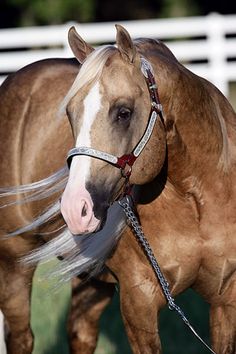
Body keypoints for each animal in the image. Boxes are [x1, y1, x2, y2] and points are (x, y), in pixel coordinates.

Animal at [0, 24, 236, 354]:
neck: (197, 199)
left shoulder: (226, 299)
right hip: (12, 264)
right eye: (70, 114)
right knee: (21, 337)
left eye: (123, 112)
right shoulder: (139, 301)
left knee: (81, 332)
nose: (75, 208)